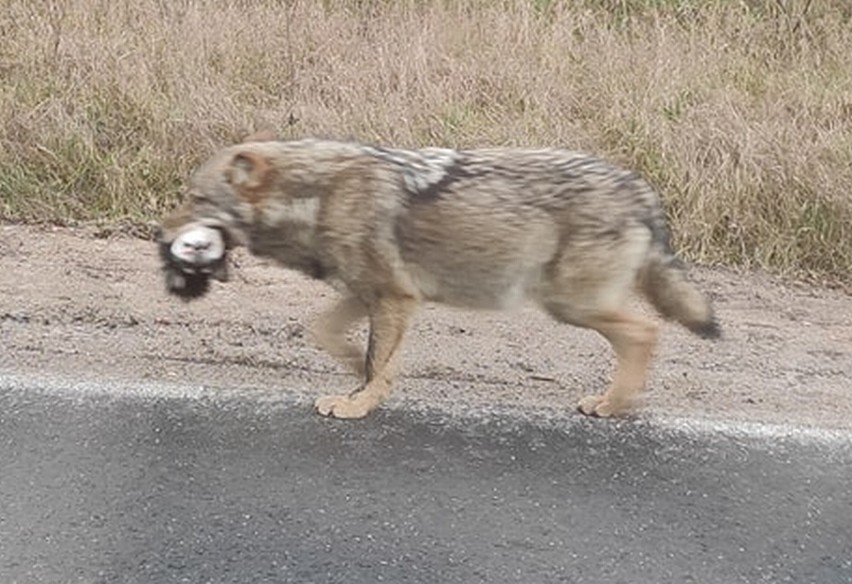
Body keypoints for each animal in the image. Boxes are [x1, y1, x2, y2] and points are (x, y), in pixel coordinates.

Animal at [155, 135, 720, 420]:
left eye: (196, 198)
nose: (158, 232)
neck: (319, 194)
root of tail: (640, 190)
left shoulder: (395, 298)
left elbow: (376, 359)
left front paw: (359, 404)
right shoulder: (370, 294)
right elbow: (335, 338)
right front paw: (361, 383)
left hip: (569, 304)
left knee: (646, 332)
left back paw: (612, 404)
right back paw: (615, 402)